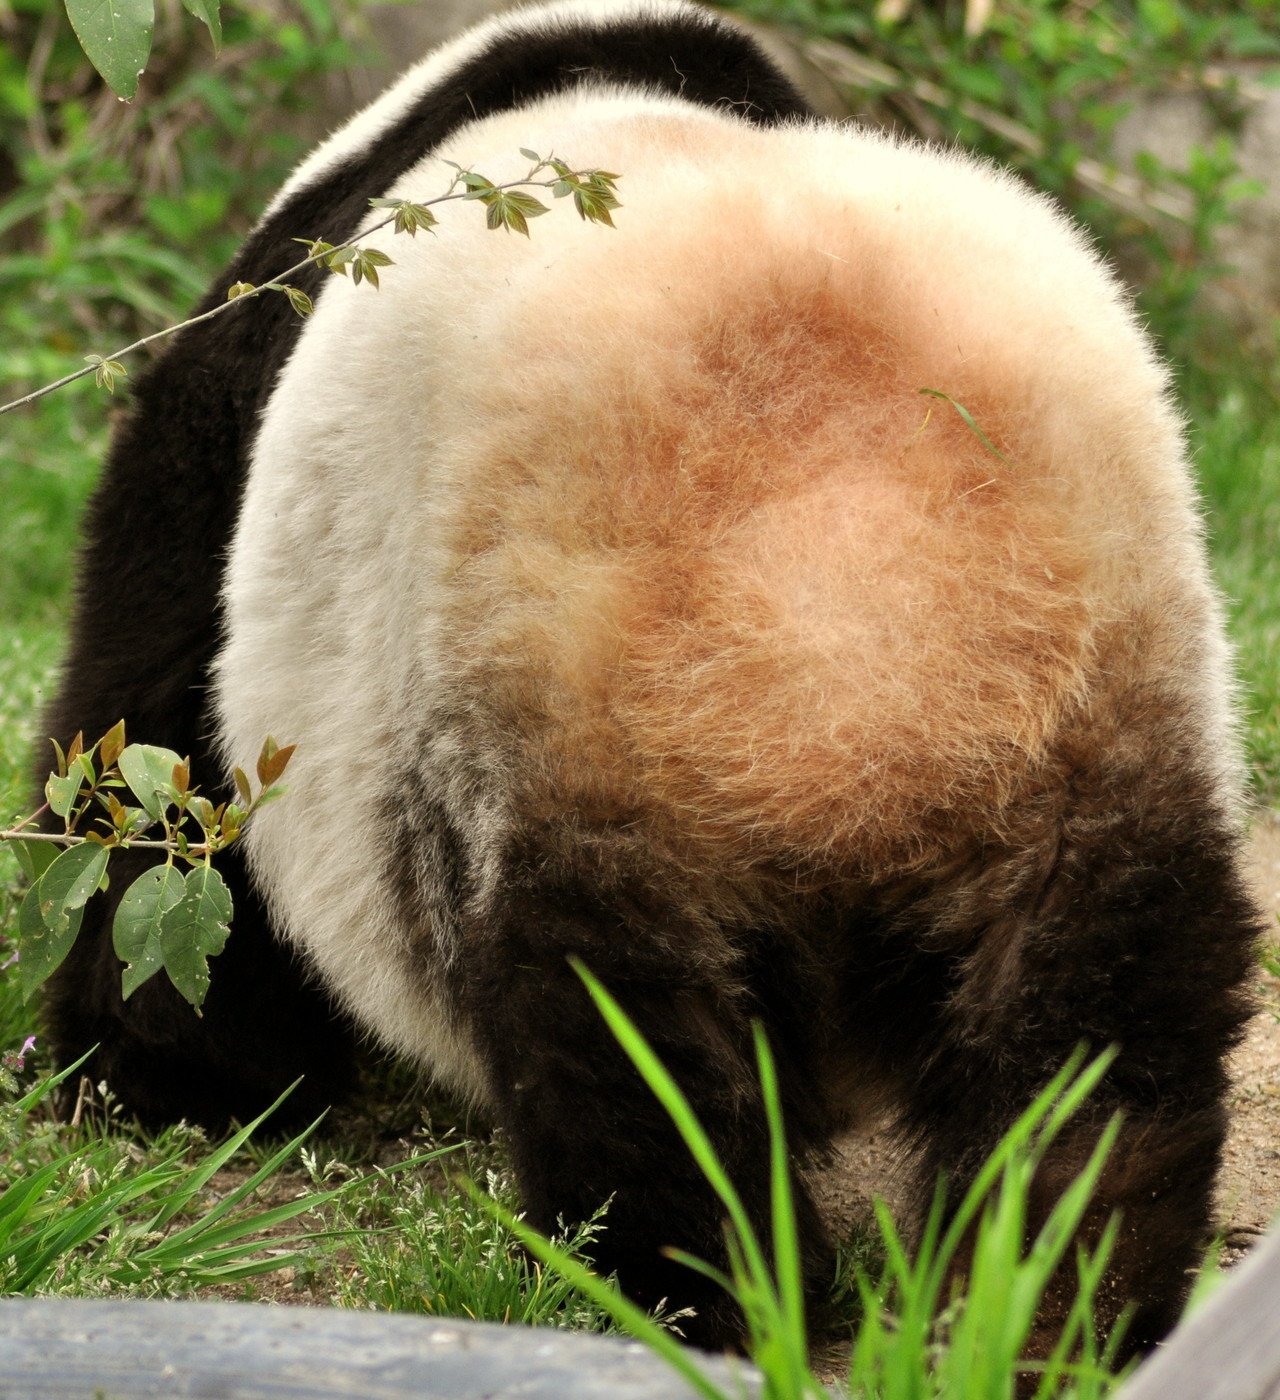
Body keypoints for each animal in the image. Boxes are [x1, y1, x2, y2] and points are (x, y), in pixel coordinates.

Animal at [42, 0, 1254, 1360]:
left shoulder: (236, 404)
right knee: (1098, 1030)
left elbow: (154, 756)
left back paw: (682, 1292)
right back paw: (1058, 1306)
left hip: (585, 712)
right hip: (1091, 716)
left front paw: (157, 1075)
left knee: (630, 1051)